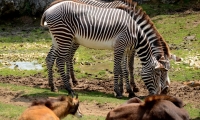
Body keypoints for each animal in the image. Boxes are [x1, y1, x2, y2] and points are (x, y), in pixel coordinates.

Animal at [41, 0, 170, 98]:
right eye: (158, 74)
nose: (163, 92)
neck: (136, 32)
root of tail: (49, 9)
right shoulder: (120, 47)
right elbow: (118, 69)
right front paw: (119, 92)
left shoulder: (125, 48)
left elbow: (125, 69)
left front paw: (129, 91)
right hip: (65, 36)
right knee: (60, 61)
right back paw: (69, 89)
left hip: (58, 38)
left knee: (50, 58)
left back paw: (53, 86)